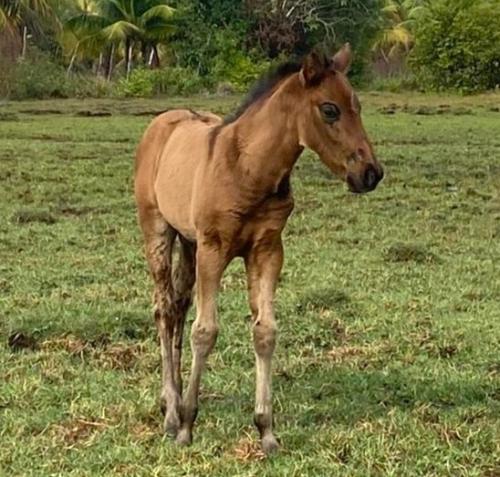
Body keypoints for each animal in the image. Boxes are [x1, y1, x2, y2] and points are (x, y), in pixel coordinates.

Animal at [133, 45, 382, 454]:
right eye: (330, 109)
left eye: (358, 106)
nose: (371, 173)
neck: (248, 169)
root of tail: (163, 122)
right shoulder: (213, 248)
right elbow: (206, 331)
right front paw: (187, 425)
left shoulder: (267, 250)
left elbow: (265, 331)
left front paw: (266, 430)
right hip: (157, 230)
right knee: (164, 309)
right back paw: (170, 410)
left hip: (188, 241)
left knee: (179, 307)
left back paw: (173, 399)